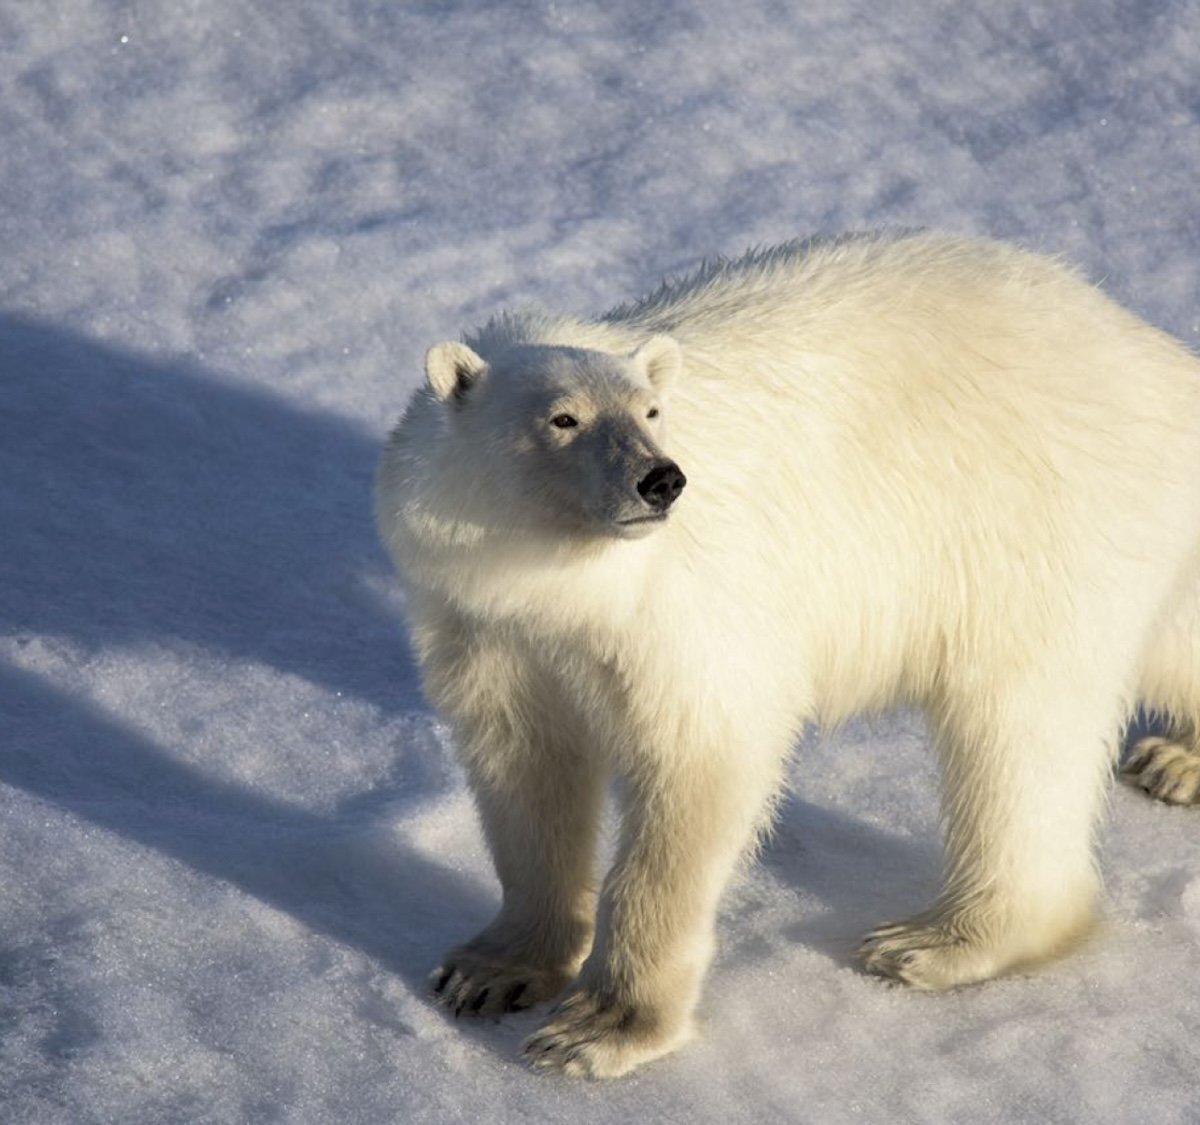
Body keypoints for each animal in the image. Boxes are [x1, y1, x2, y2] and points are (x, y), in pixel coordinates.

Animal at [372, 230, 1200, 1079]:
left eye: (651, 410)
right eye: (562, 417)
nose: (660, 479)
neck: (562, 582)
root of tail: (1161, 358)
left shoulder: (684, 612)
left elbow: (700, 763)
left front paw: (597, 1030)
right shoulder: (485, 625)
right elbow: (524, 768)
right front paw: (488, 970)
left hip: (1034, 526)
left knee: (1018, 737)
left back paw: (932, 941)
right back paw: (1175, 759)